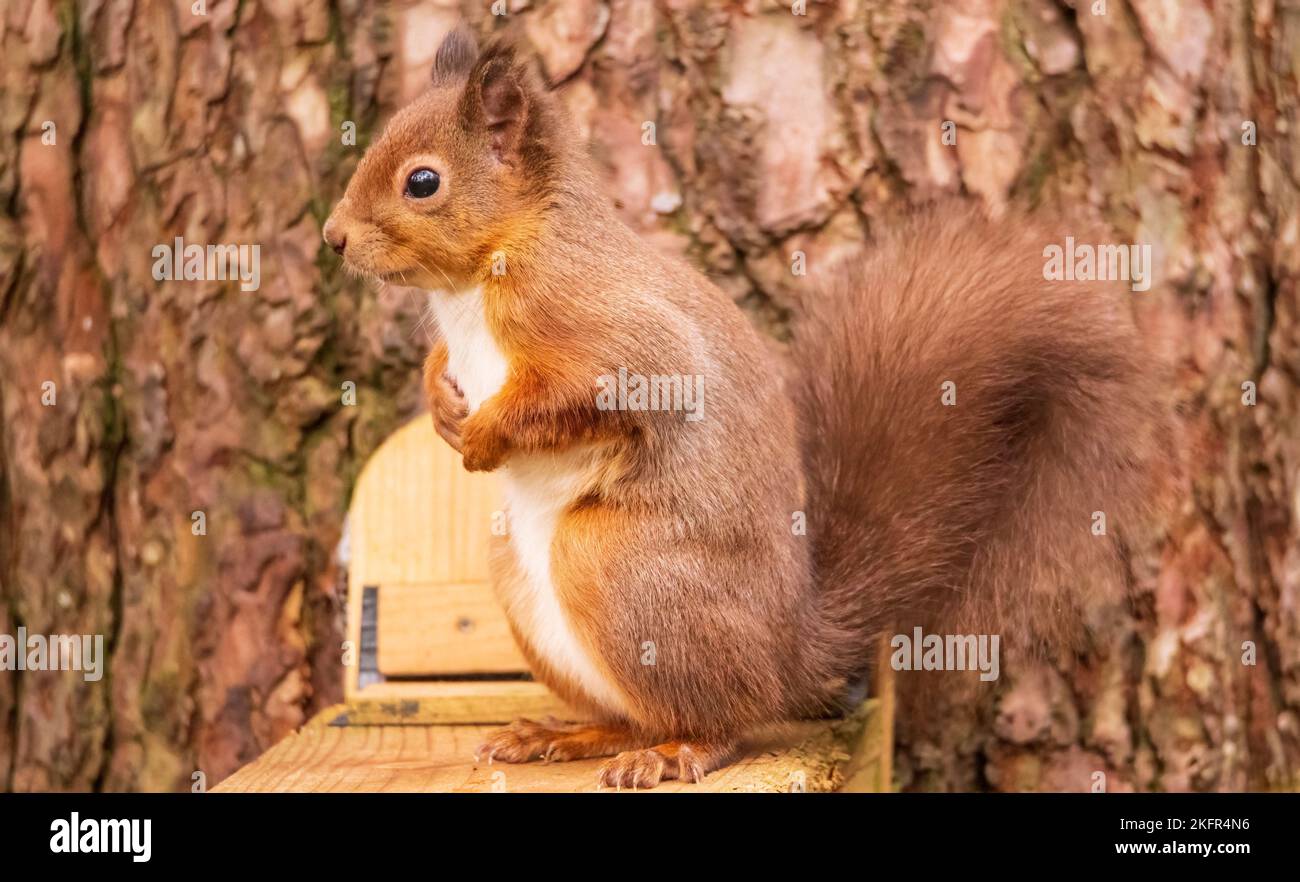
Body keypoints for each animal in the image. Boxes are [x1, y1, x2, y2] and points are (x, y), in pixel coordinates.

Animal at [322, 27, 1170, 790]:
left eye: (422, 182)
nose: (332, 238)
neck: (473, 285)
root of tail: (791, 652)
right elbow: (442, 366)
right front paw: (443, 405)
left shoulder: (615, 334)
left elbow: (591, 390)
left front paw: (484, 434)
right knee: (634, 715)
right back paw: (564, 734)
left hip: (619, 566)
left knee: (722, 719)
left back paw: (676, 752)